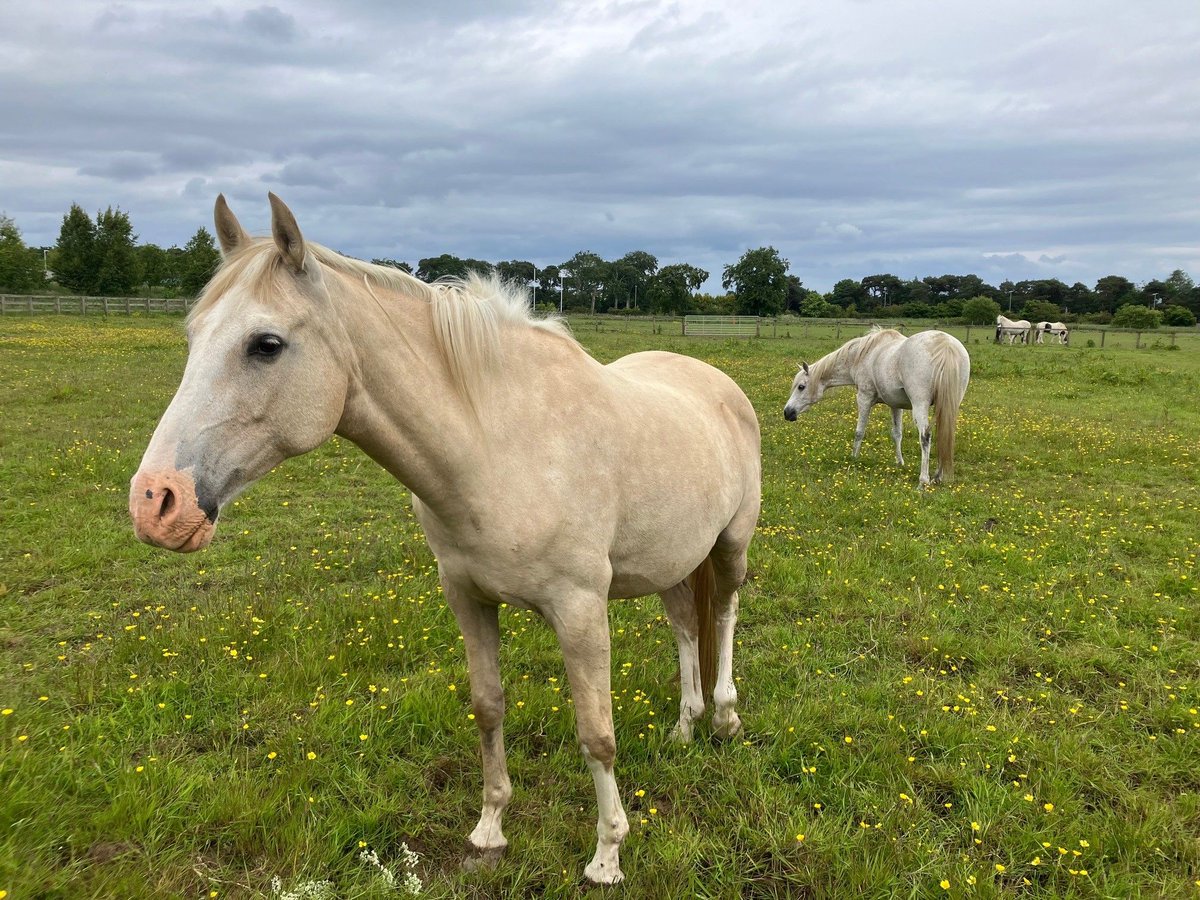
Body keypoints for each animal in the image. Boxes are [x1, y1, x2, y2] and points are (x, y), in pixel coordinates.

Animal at [128, 194, 761, 885]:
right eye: (192, 336)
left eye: (265, 345)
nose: (156, 503)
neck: (498, 445)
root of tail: (715, 380)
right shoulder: (466, 597)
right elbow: (488, 707)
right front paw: (489, 832)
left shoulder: (580, 609)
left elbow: (596, 734)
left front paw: (607, 855)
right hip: (671, 560)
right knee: (685, 626)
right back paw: (685, 726)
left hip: (729, 547)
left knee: (723, 613)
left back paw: (724, 717)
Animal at [782, 327, 970, 488]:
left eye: (801, 387)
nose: (787, 412)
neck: (863, 355)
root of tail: (945, 345)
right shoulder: (896, 405)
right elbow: (897, 434)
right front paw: (900, 463)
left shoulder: (864, 398)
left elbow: (859, 432)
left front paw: (853, 458)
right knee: (943, 434)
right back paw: (938, 476)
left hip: (920, 405)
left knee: (925, 437)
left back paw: (923, 481)